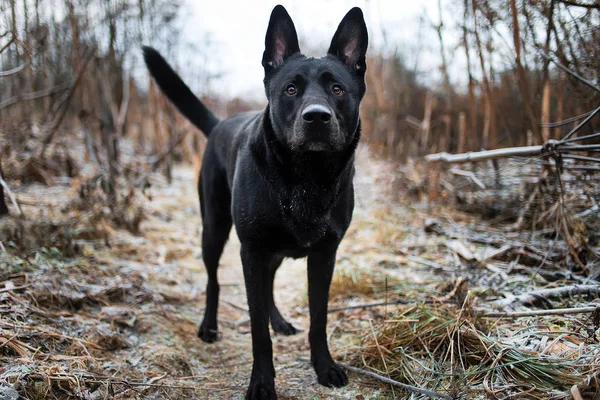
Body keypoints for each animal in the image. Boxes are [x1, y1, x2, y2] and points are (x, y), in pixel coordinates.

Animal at [142, 4, 366, 398]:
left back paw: (280, 321)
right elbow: (257, 329)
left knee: (269, 284)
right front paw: (261, 382)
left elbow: (319, 318)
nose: (316, 117)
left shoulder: (324, 255)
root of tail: (219, 123)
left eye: (337, 89)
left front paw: (324, 367)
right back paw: (209, 326)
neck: (305, 178)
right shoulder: (252, 251)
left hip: (268, 251)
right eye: (291, 90)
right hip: (215, 229)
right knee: (214, 280)